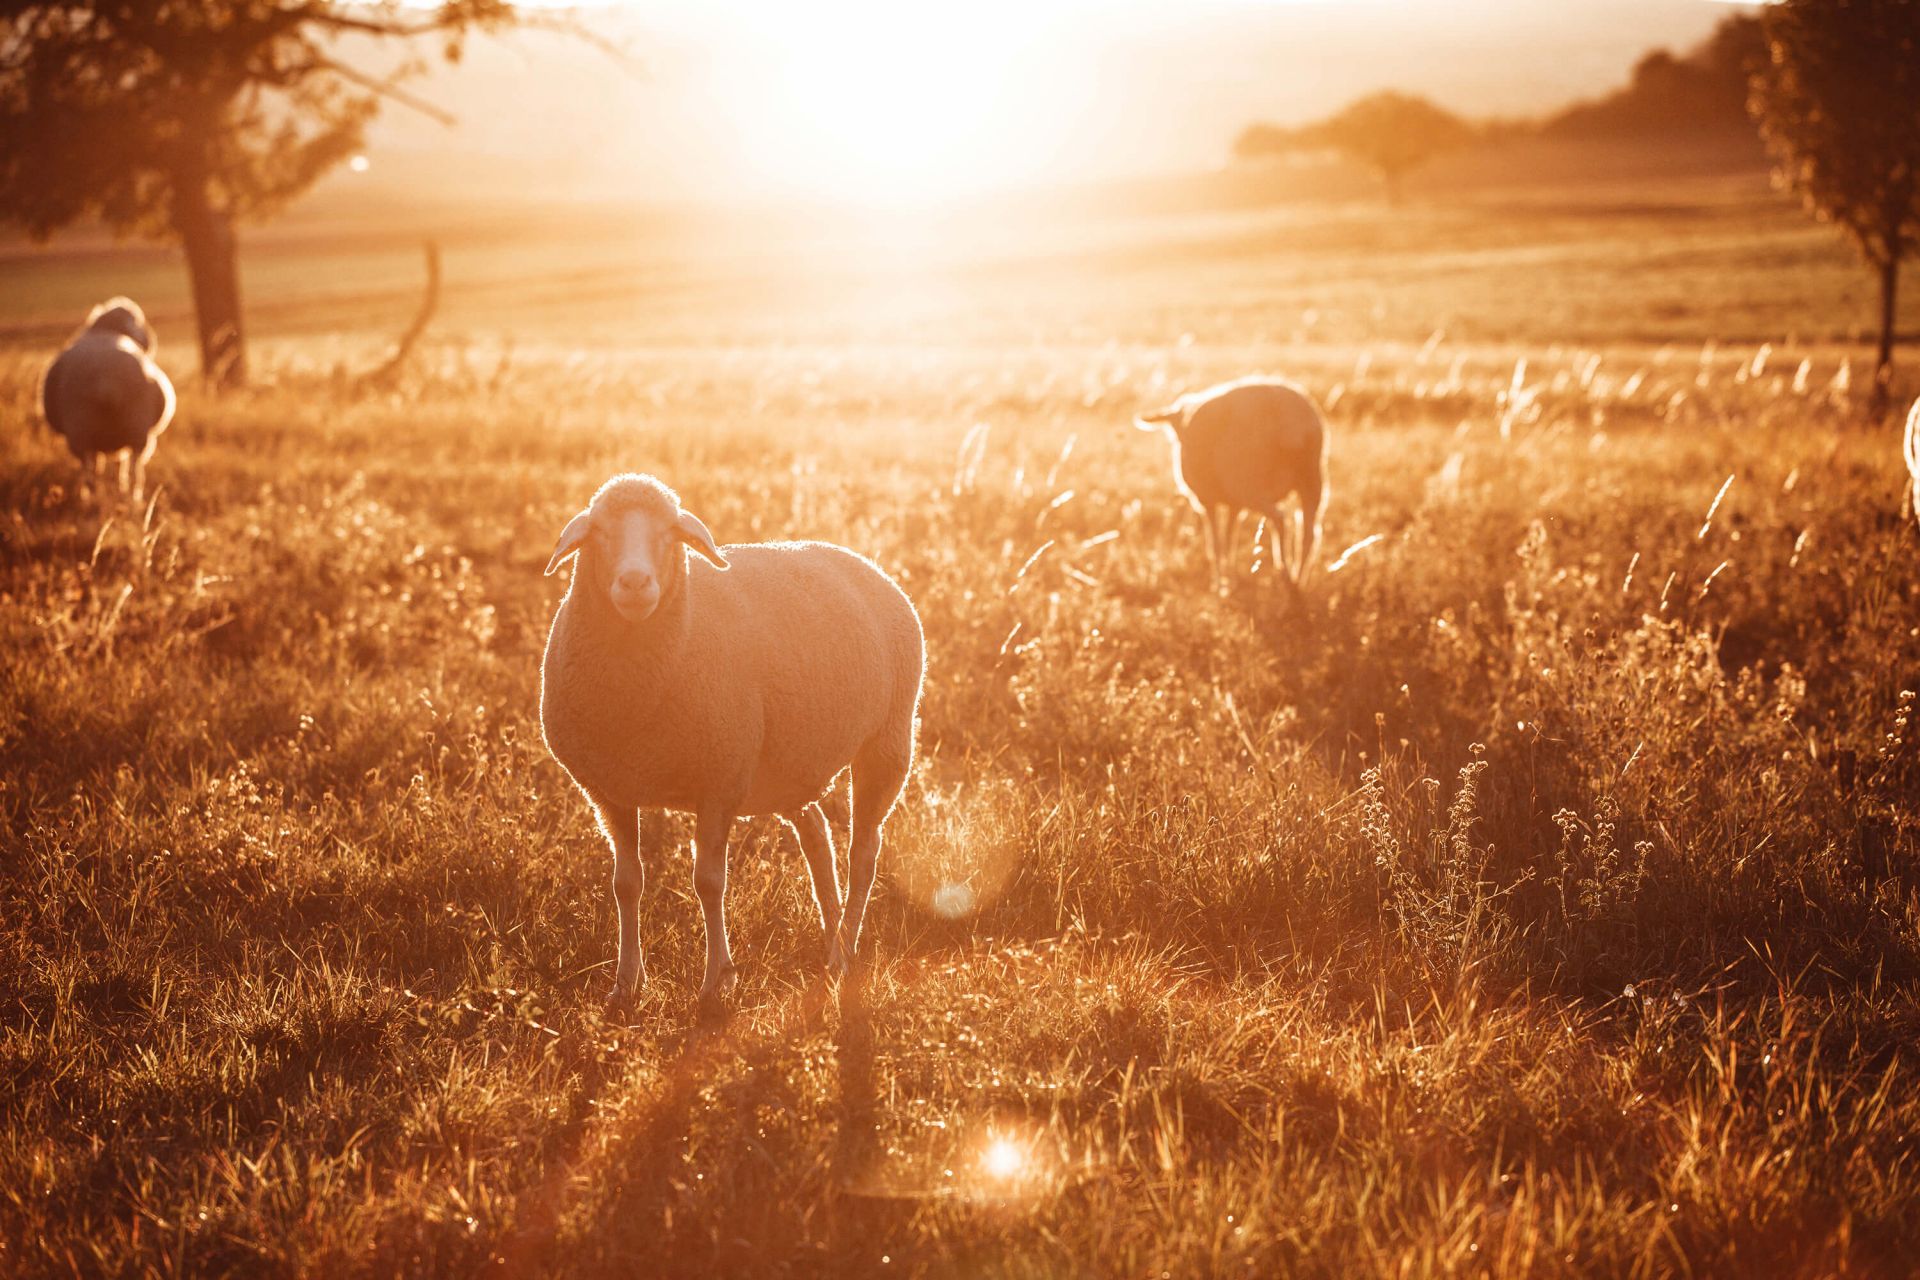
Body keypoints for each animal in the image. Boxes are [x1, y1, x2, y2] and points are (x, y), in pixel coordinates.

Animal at [40, 297, 176, 504]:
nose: (150, 338)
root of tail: (107, 383)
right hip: (132, 429)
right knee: (128, 469)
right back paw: (124, 496)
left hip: (86, 429)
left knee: (98, 471)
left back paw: (99, 498)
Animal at [539, 473, 925, 1008]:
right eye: (598, 531)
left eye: (670, 533)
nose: (635, 583)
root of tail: (869, 566)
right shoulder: (609, 791)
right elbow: (626, 884)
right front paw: (626, 982)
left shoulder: (719, 781)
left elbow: (708, 882)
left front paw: (716, 980)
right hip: (790, 766)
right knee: (817, 838)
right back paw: (831, 940)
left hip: (887, 742)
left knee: (863, 853)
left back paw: (845, 947)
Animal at [1135, 376, 1329, 590]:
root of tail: (1288, 419)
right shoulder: (1235, 505)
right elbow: (1229, 540)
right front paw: (1229, 577)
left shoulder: (1206, 500)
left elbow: (1216, 544)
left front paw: (1218, 582)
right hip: (1311, 479)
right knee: (1310, 534)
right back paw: (1298, 580)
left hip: (1248, 484)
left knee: (1279, 518)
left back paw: (1285, 573)